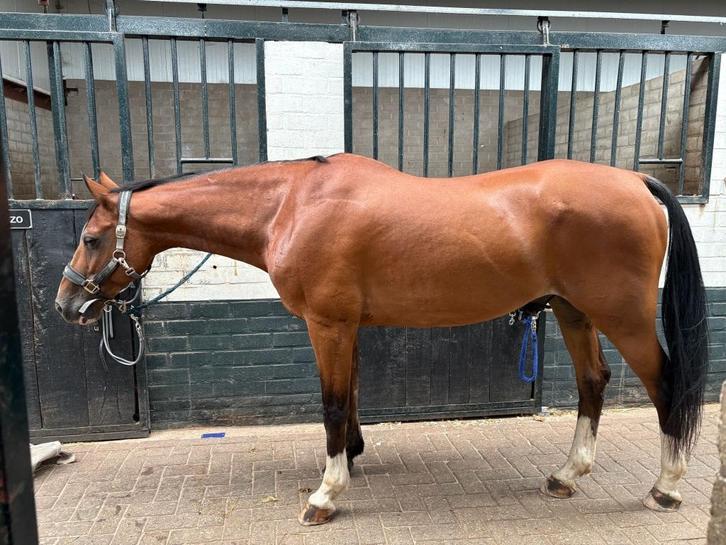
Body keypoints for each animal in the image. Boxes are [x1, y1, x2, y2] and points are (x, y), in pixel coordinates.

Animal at [55, 153, 708, 526]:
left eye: (90, 238)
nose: (66, 305)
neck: (290, 205)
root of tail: (638, 182)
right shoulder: (348, 327)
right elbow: (351, 398)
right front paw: (351, 456)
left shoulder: (327, 324)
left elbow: (331, 404)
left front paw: (326, 495)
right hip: (574, 313)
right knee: (593, 382)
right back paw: (567, 475)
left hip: (622, 317)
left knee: (666, 387)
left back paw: (666, 488)